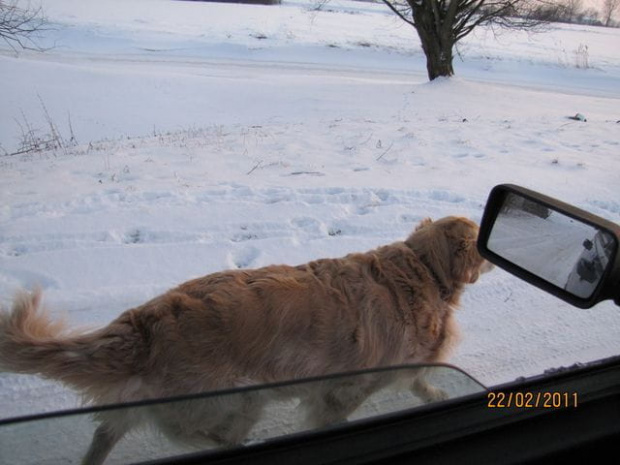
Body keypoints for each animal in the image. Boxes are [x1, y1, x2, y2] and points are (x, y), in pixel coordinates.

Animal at [1, 216, 494, 462]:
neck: (422, 268)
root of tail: (147, 322)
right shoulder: (346, 387)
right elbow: (336, 414)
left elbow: (420, 380)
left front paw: (436, 392)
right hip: (243, 398)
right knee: (202, 438)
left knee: (107, 432)